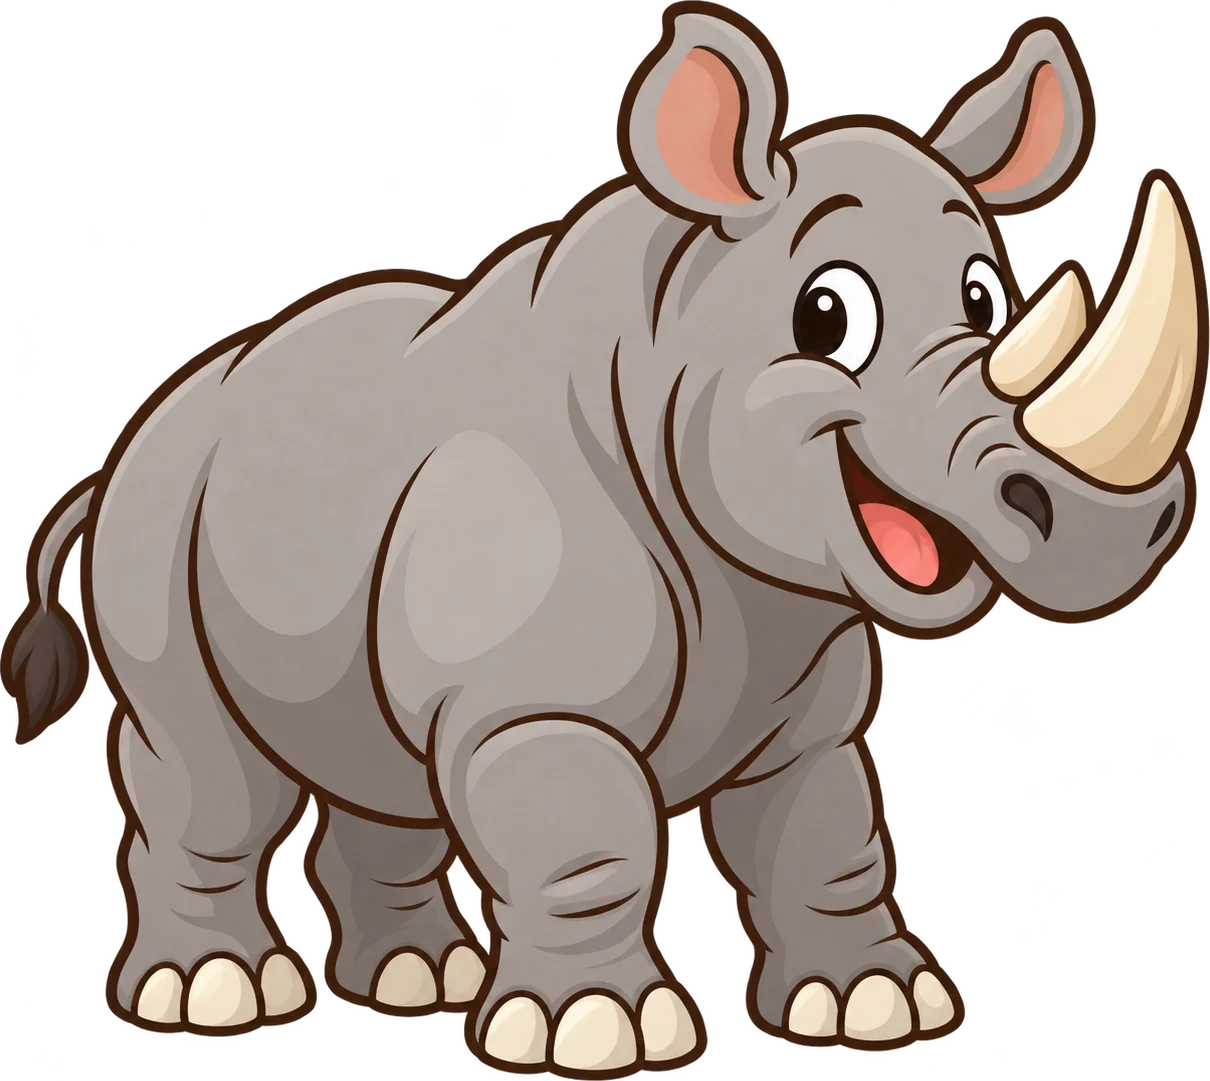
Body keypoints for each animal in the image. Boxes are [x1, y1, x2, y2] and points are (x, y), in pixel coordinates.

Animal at [2, 1, 1204, 1069]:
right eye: (827, 318)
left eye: (985, 302)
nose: (1121, 527)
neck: (673, 337)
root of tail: (138, 434)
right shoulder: (533, 702)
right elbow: (591, 840)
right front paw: (594, 1032)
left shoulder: (799, 687)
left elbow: (822, 833)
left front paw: (872, 1003)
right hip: (157, 519)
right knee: (205, 768)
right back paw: (213, 996)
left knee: (383, 768)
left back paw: (418, 979)